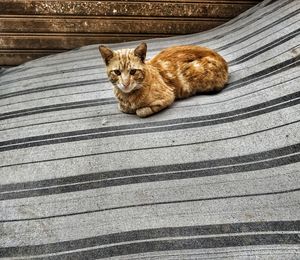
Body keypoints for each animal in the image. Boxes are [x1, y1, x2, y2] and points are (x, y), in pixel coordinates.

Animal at [98, 43, 227, 118]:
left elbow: (140, 112)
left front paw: (137, 110)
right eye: (117, 72)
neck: (127, 97)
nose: (125, 83)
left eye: (133, 72)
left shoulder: (168, 97)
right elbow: (122, 108)